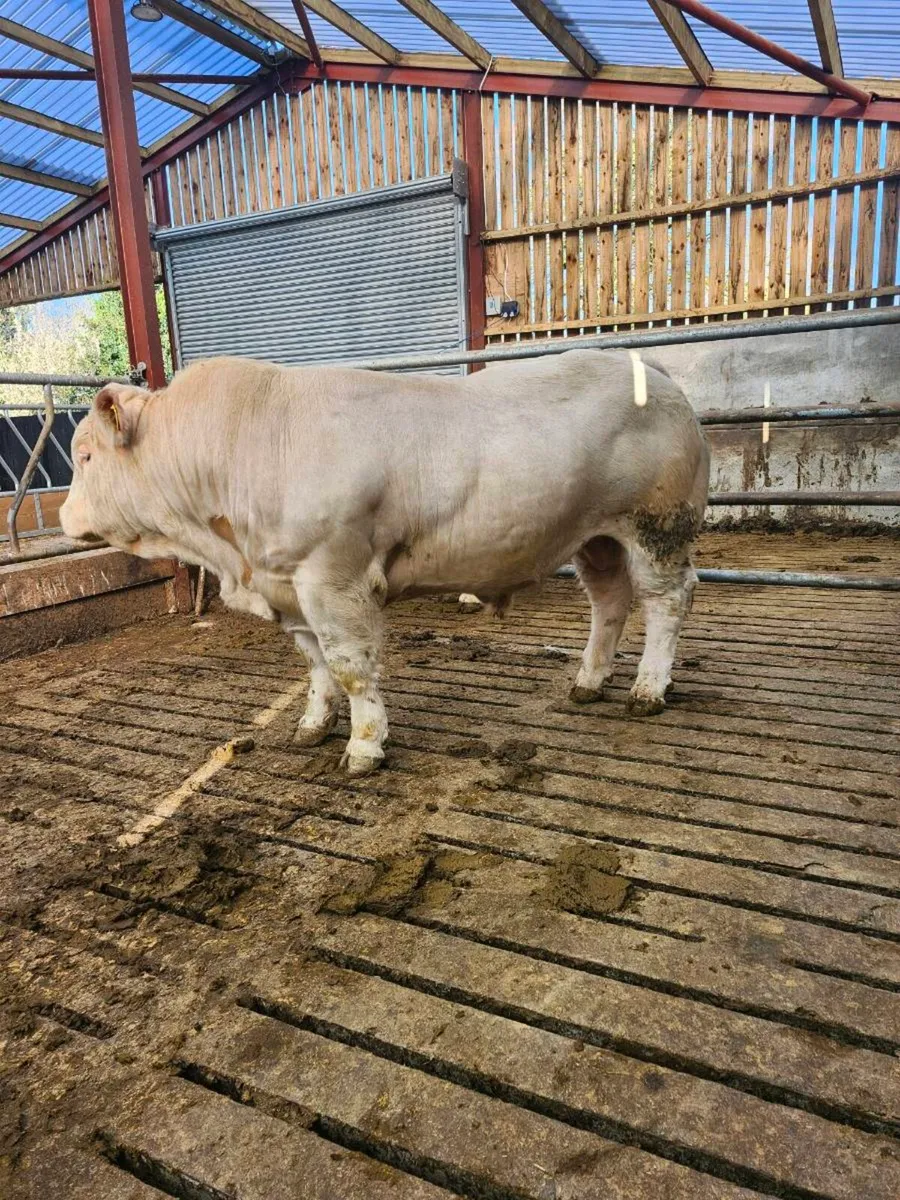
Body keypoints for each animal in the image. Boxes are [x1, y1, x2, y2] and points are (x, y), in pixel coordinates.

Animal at [60, 349, 709, 776]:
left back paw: (648, 689)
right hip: (595, 538)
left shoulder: (333, 576)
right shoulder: (290, 586)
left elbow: (350, 667)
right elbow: (316, 665)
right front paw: (313, 726)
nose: (64, 517)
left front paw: (365, 746)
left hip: (659, 527)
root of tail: (652, 371)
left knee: (667, 601)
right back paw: (588, 681)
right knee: (610, 601)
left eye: (85, 454)